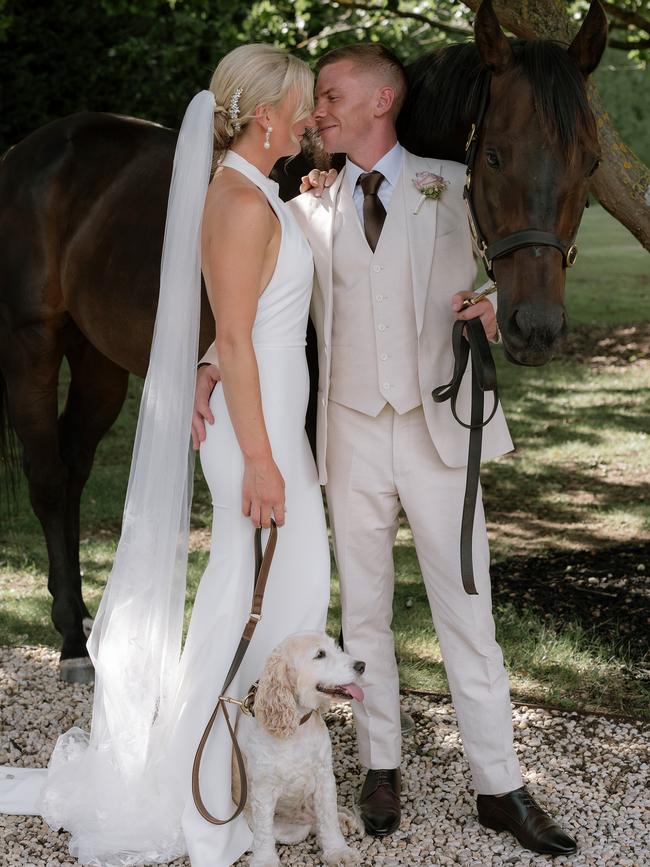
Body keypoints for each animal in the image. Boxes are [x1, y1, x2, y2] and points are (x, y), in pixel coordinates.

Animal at [0, 0, 608, 680]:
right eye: (496, 157)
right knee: (50, 478)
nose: (536, 327)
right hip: (31, 345)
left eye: (591, 162)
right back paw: (74, 645)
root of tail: (27, 151)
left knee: (74, 465)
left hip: (99, 359)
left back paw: (81, 621)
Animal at [234, 632, 364, 867]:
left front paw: (338, 851)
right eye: (319, 655)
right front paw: (265, 860)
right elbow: (264, 832)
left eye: (336, 647)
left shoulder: (324, 777)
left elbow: (328, 819)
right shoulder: (263, 788)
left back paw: (345, 821)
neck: (297, 725)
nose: (362, 665)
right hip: (289, 830)